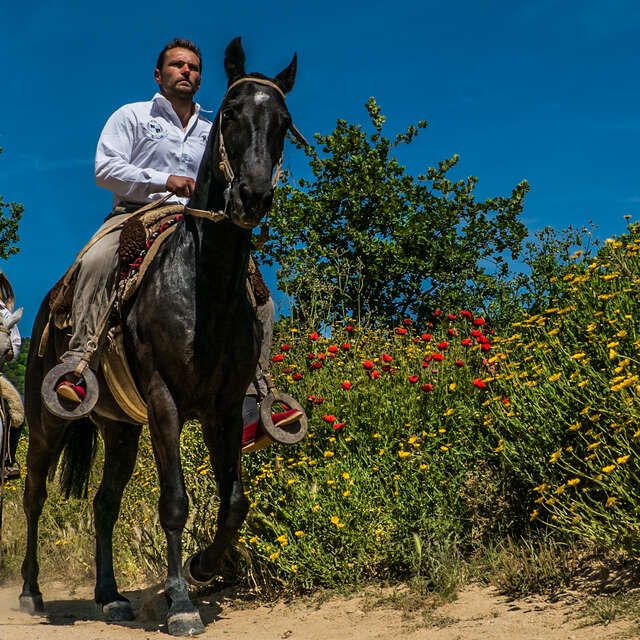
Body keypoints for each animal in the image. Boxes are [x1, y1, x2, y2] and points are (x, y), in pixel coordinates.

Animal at [22, 38, 298, 636]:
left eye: (284, 122)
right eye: (231, 114)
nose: (252, 196)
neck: (200, 286)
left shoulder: (223, 408)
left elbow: (234, 501)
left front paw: (202, 567)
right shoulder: (164, 400)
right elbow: (174, 501)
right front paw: (181, 603)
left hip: (120, 429)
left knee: (104, 503)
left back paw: (110, 596)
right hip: (47, 419)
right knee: (33, 493)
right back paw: (31, 592)